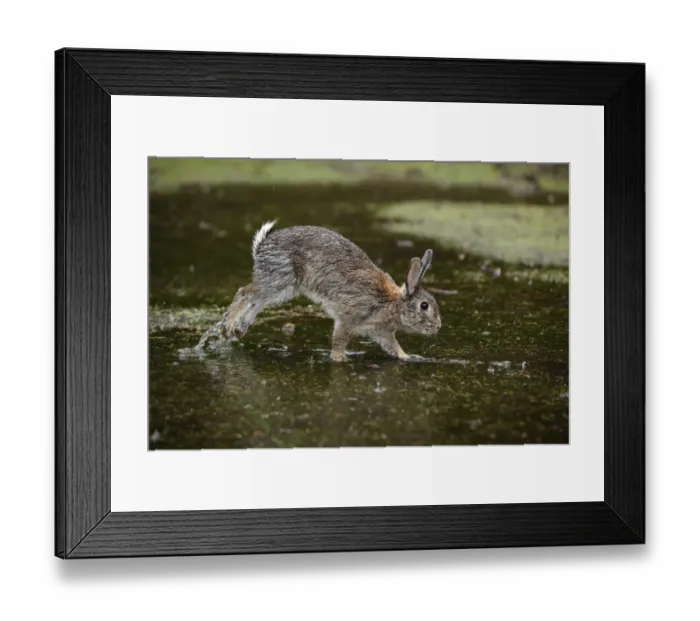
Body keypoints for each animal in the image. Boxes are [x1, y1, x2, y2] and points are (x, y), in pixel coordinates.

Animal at [222, 221, 441, 362]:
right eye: (424, 306)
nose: (438, 327)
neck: (392, 303)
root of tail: (262, 246)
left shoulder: (382, 332)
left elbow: (394, 347)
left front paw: (408, 357)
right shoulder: (348, 320)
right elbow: (338, 341)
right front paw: (340, 359)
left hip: (283, 288)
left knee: (256, 301)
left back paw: (239, 330)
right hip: (279, 278)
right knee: (244, 293)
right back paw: (228, 327)